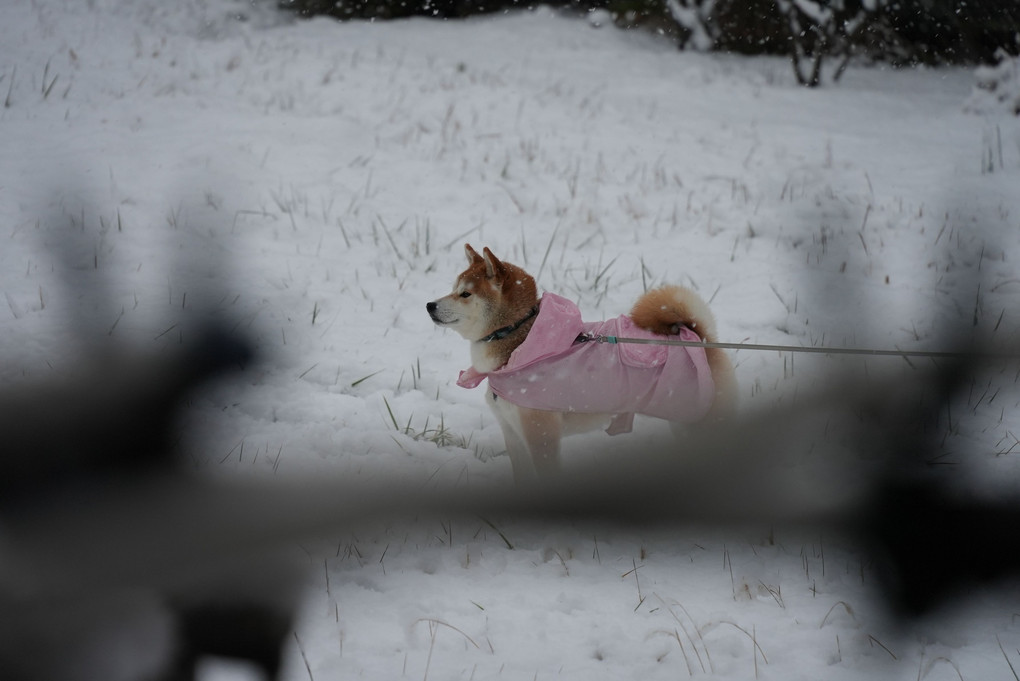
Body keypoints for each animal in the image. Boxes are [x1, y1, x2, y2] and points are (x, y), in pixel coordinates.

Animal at [426, 244, 738, 483]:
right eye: (453, 288)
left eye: (465, 293)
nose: (429, 305)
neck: (518, 343)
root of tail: (701, 337)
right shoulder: (512, 433)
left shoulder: (540, 435)